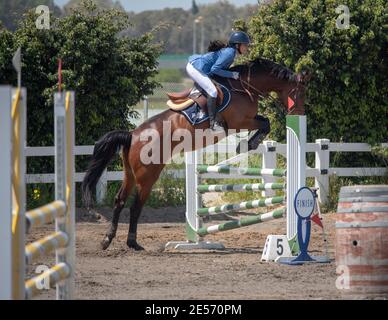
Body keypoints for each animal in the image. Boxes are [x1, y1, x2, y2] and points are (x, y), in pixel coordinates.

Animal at [82, 57, 310, 250]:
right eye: (300, 92)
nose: (298, 113)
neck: (244, 87)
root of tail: (131, 135)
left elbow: (264, 121)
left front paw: (247, 144)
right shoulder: (240, 122)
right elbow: (265, 123)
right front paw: (247, 144)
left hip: (129, 173)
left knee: (119, 201)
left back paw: (107, 240)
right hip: (147, 175)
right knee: (135, 206)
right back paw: (133, 243)